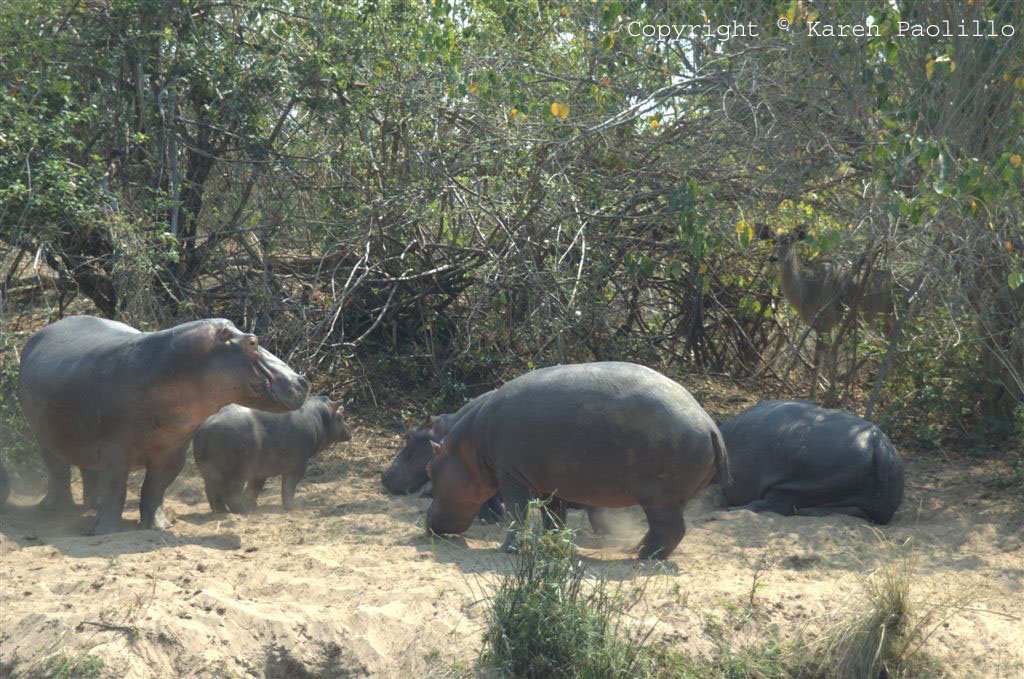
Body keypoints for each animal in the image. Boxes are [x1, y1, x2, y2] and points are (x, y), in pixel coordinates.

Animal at [17, 315, 309, 535]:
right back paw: (55, 509)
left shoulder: (172, 449)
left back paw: (90, 505)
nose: (303, 380)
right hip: (43, 435)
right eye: (253, 341)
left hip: (82, 439)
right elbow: (115, 486)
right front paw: (104, 531)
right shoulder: (115, 448)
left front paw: (159, 526)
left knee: (87, 470)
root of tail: (42, 331)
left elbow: (155, 488)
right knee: (58, 470)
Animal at [193, 395, 352, 513]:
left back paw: (222, 511)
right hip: (239, 471)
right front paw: (292, 507)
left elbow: (254, 488)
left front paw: (253, 506)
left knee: (211, 491)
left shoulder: (260, 471)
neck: (319, 417)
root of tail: (206, 426)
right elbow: (289, 486)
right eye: (341, 414)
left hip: (211, 472)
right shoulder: (298, 464)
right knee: (230, 493)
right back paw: (243, 512)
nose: (350, 433)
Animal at [426, 362, 728, 560]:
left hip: (660, 497)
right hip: (670, 498)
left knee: (671, 529)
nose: (426, 521)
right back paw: (634, 549)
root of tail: (709, 424)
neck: (469, 446)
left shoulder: (510, 476)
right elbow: (553, 518)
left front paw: (508, 549)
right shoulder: (549, 484)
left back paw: (643, 555)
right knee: (664, 529)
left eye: (429, 469)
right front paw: (554, 544)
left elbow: (518, 514)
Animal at [718, 400, 904, 523]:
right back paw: (810, 512)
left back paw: (732, 510)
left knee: (774, 503)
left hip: (804, 480)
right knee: (858, 510)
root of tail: (878, 443)